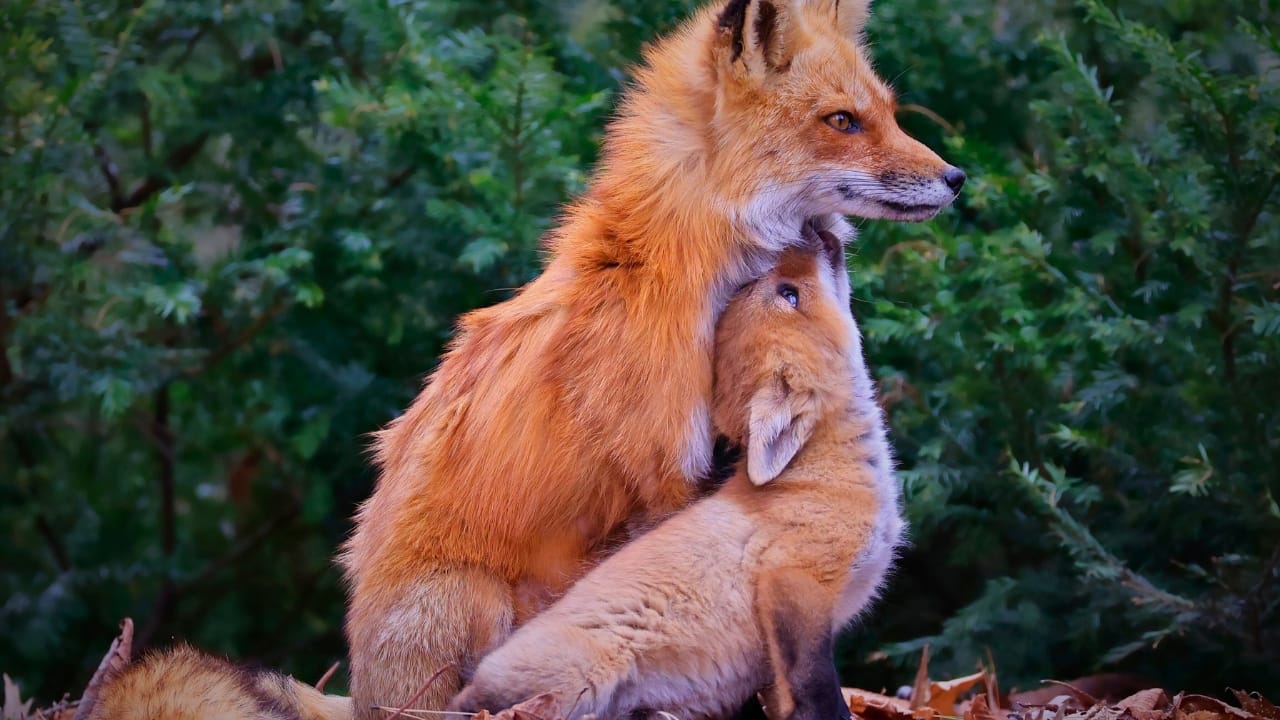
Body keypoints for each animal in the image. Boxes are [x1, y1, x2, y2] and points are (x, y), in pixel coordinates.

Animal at [450, 229, 904, 720]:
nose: (815, 233)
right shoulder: (794, 584)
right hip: (584, 676)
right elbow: (818, 690)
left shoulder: (776, 651)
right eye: (789, 294)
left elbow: (787, 699)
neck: (820, 475)